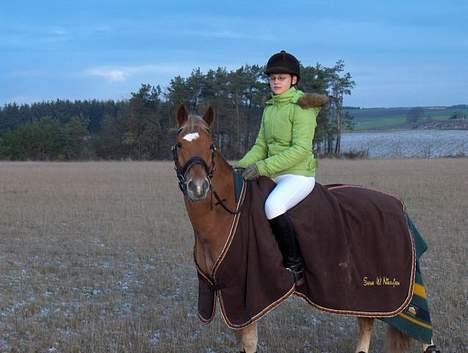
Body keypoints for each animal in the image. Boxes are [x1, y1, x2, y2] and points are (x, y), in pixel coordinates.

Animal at [173, 105, 438, 352]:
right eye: (179, 145)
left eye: (211, 146)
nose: (198, 187)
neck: (224, 214)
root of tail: (397, 204)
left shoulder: (244, 297)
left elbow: (249, 343)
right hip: (364, 293)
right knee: (366, 324)